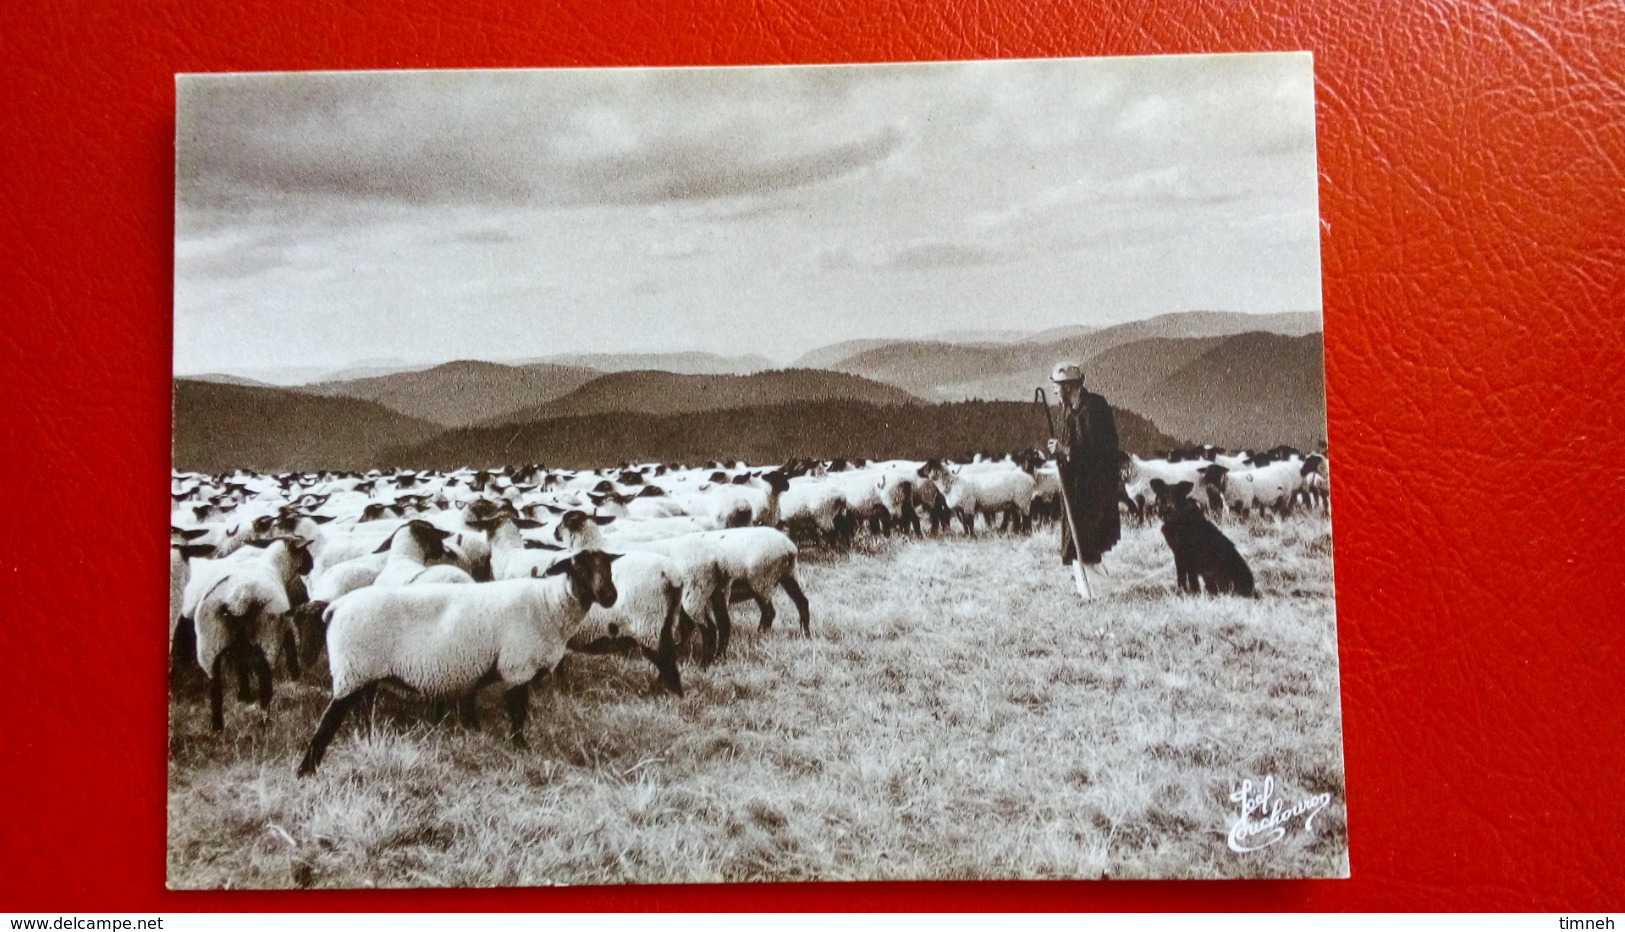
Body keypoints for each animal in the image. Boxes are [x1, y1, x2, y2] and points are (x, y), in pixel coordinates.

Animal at [292, 552, 620, 779]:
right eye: (578, 566)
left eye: (609, 566)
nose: (610, 596)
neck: (549, 603)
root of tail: (337, 607)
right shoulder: (517, 666)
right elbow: (517, 713)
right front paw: (521, 749)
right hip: (352, 669)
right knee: (328, 722)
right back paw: (306, 770)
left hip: (365, 674)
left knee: (363, 712)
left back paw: (369, 743)